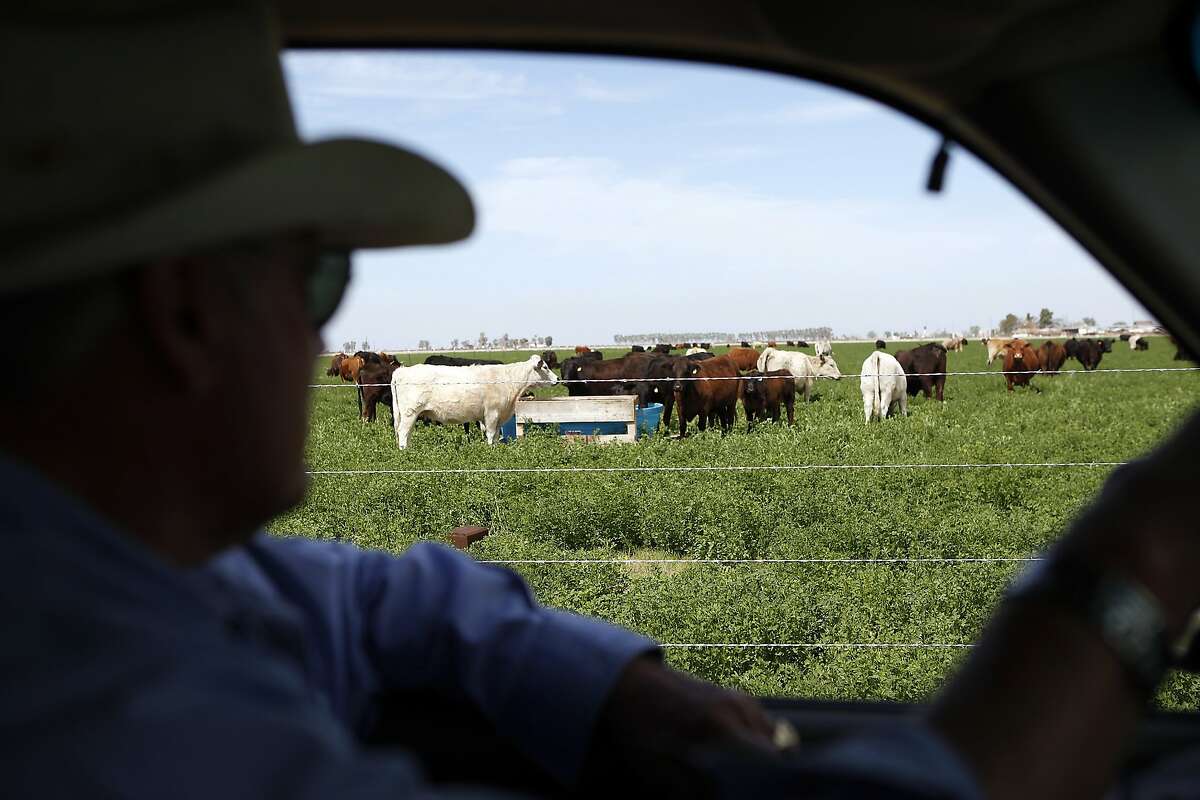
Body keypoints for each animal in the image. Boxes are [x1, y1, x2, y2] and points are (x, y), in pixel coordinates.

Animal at [393, 357, 561, 450]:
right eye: (545, 367)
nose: (557, 379)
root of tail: (402, 371)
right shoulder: (492, 413)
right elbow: (491, 434)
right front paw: (490, 450)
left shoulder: (497, 417)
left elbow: (496, 436)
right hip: (409, 412)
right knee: (403, 432)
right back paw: (404, 452)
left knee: (407, 433)